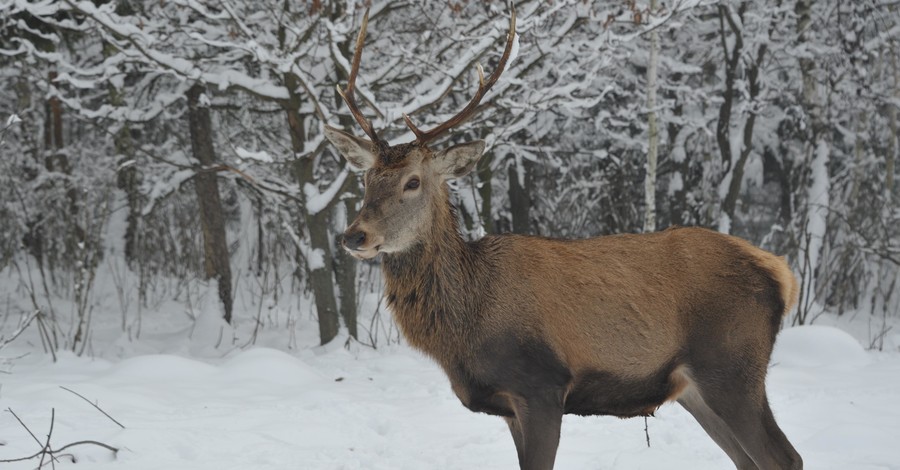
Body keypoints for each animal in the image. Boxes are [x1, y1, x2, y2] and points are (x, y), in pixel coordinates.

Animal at [322, 7, 800, 470]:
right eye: (366, 178)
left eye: (413, 182)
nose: (354, 235)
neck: (469, 324)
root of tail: (782, 273)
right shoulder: (509, 407)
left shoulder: (542, 386)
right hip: (697, 390)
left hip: (733, 367)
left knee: (784, 457)